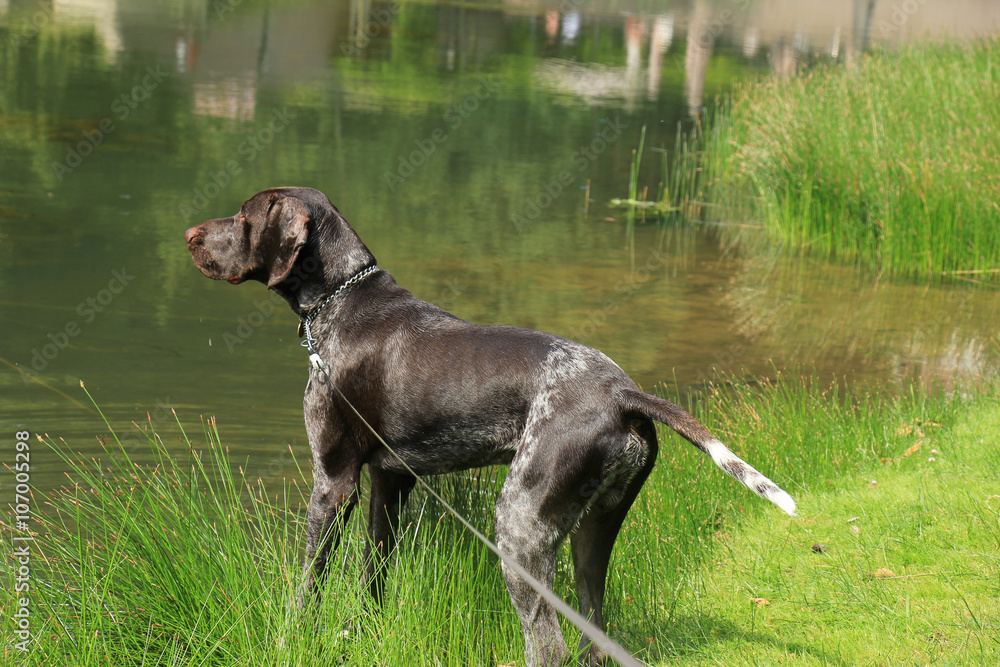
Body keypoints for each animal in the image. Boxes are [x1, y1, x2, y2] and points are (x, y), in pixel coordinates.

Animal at [186, 187, 796, 667]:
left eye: (243, 216)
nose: (190, 234)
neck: (341, 301)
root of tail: (621, 391)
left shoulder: (333, 481)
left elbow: (309, 581)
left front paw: (294, 636)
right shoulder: (390, 481)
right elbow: (374, 575)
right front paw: (356, 635)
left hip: (519, 524)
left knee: (547, 646)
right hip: (594, 532)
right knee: (592, 637)